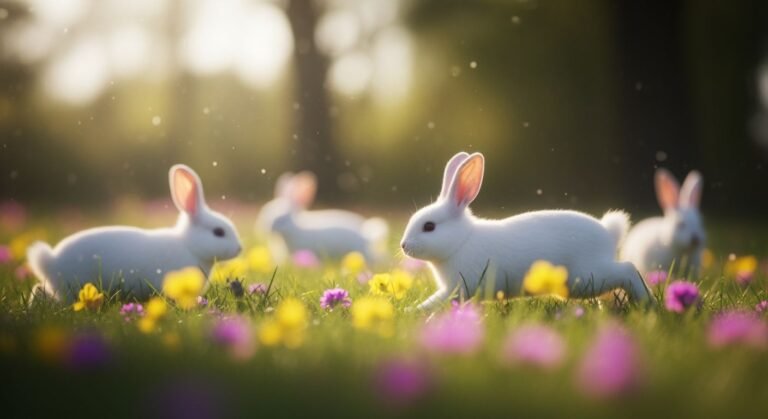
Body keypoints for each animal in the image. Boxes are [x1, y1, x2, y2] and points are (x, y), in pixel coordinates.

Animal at [399, 151, 651, 311]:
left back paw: (648, 304)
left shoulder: (458, 287)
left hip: (587, 275)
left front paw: (413, 311)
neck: (461, 241)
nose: (403, 246)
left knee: (628, 270)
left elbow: (435, 302)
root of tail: (609, 232)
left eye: (429, 226)